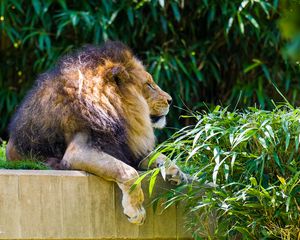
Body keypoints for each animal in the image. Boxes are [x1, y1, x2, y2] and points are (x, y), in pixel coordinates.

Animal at [5, 41, 186, 225]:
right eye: (148, 85)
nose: (170, 100)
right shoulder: (77, 151)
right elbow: (128, 171)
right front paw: (135, 211)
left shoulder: (129, 147)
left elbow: (160, 155)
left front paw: (177, 171)